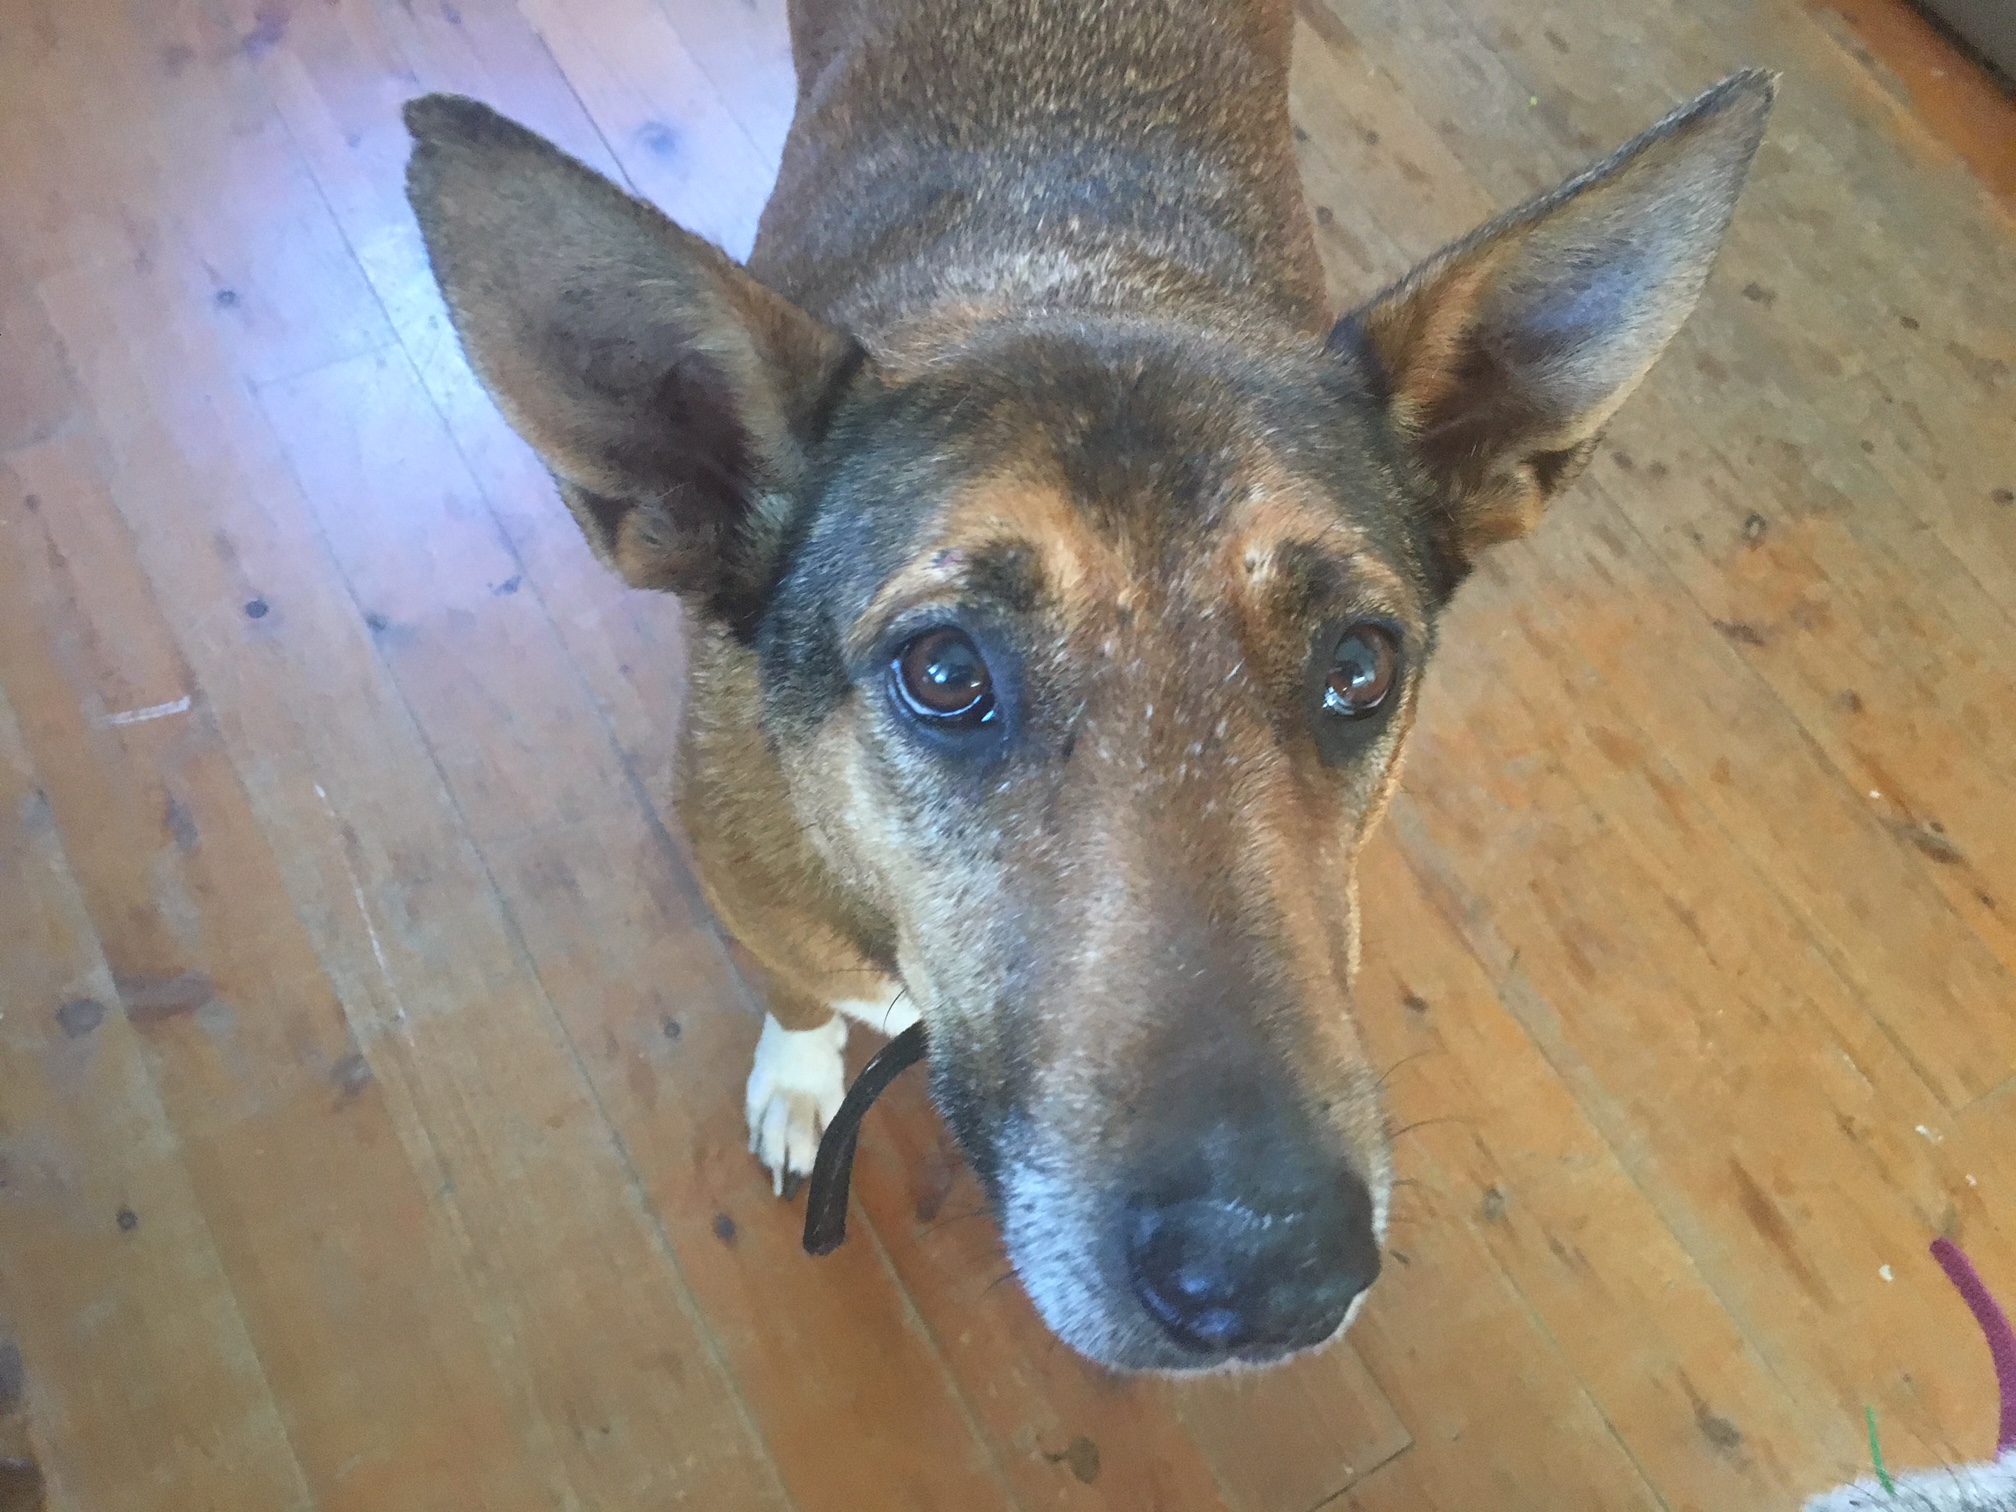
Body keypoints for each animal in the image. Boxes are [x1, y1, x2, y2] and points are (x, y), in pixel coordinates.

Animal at [404, 0, 1771, 1373]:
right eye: (944, 672)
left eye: (1360, 668)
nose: (1268, 1271)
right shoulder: (754, 894)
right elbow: (796, 994)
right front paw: (797, 1081)